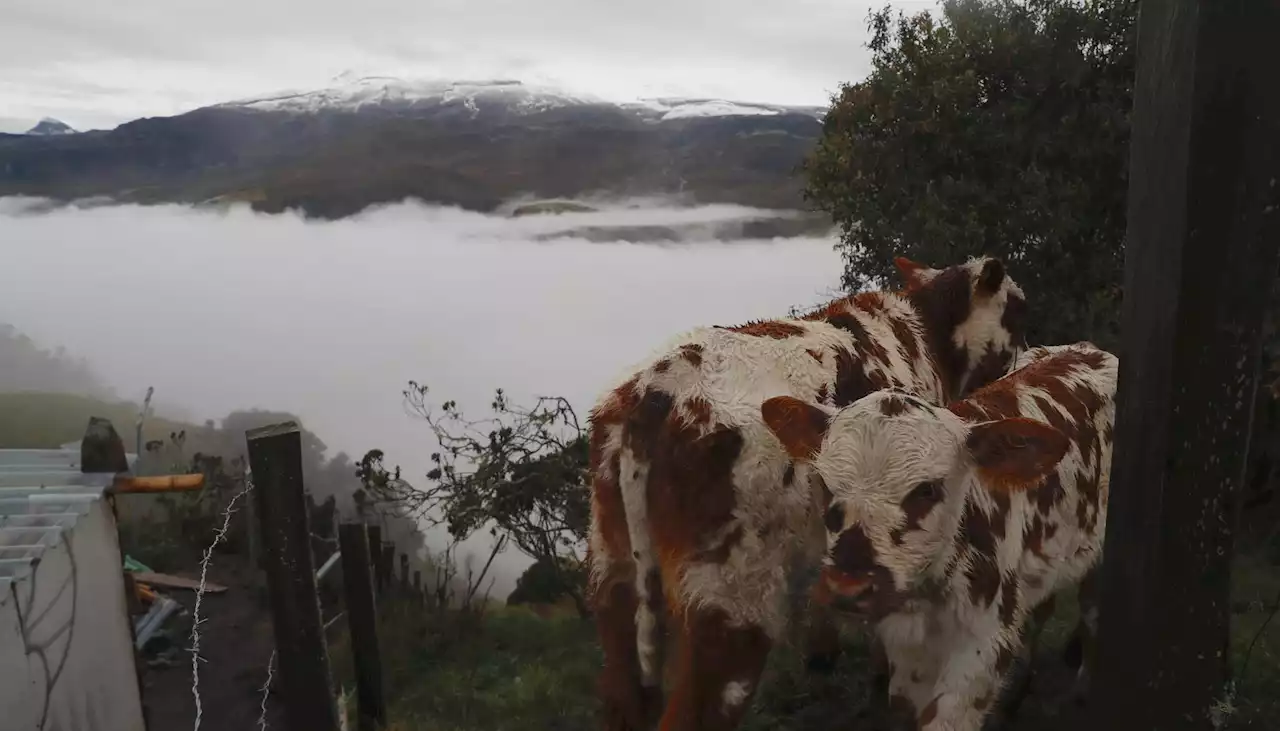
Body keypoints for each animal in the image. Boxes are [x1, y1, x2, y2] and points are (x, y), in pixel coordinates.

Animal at [586, 257, 1024, 731]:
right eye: (1017, 311)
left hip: (615, 574)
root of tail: (658, 391)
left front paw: (823, 656)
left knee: (622, 692)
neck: (923, 334)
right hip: (733, 601)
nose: (1021, 356)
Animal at [762, 343, 1116, 731]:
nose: (848, 588)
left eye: (927, 490)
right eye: (825, 484)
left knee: (1093, 613)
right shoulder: (907, 652)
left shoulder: (983, 647)